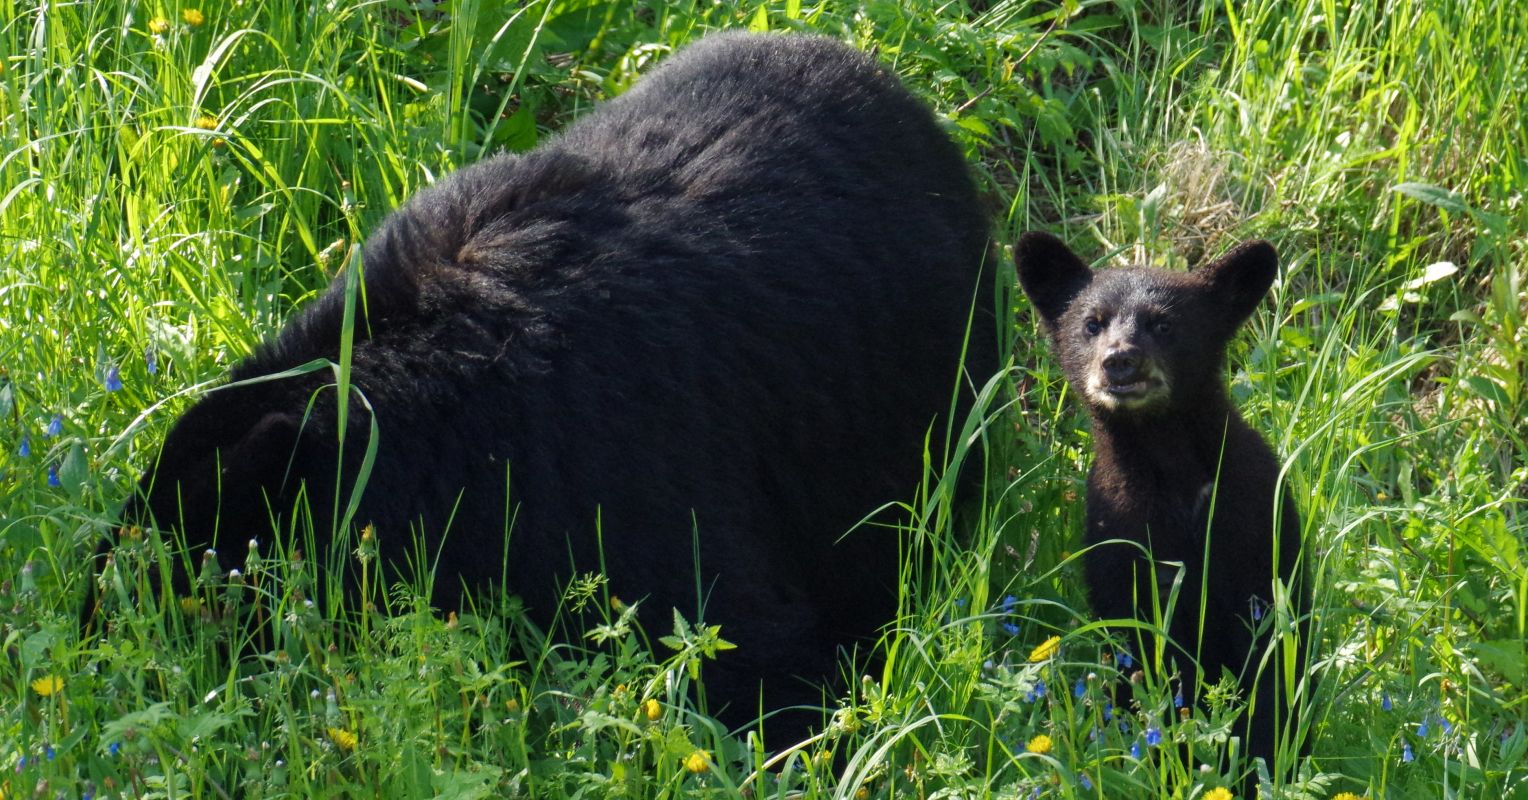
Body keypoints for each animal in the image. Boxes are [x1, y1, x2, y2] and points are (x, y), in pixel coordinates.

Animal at [1014, 231, 1304, 768]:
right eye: (1092, 323)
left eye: (1165, 324)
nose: (1119, 360)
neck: (1170, 468)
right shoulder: (1119, 539)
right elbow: (1144, 649)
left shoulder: (1255, 527)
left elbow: (1272, 657)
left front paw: (1266, 756)